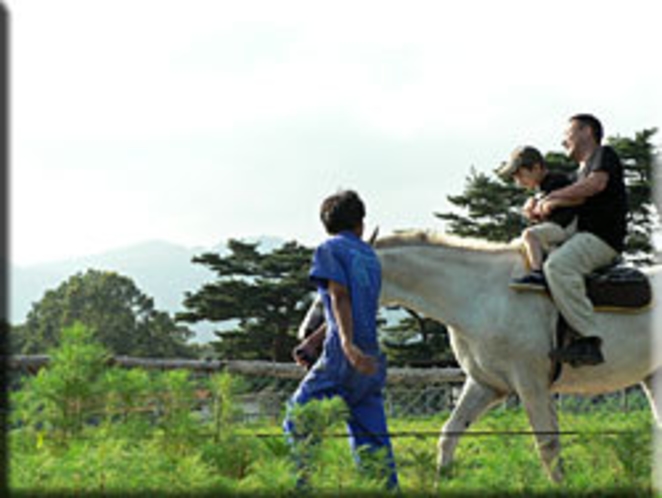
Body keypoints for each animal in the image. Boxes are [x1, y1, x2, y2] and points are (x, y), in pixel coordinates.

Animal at [376, 232, 660, 482]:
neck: (480, 296)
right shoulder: (486, 385)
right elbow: (450, 433)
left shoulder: (531, 385)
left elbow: (548, 447)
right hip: (653, 379)